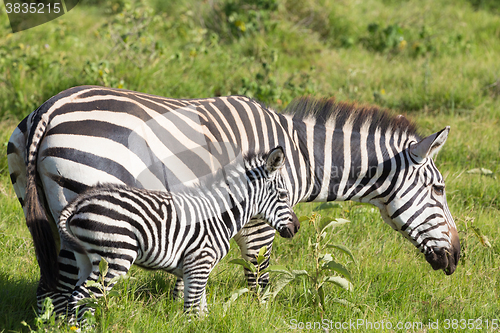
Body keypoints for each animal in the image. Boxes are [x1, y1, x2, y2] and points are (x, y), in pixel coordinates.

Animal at [54, 147, 296, 316]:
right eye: (284, 195)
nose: (297, 228)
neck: (221, 215)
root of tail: (80, 202)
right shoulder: (198, 263)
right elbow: (191, 310)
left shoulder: (198, 269)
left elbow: (202, 310)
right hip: (114, 257)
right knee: (84, 298)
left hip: (86, 258)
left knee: (75, 297)